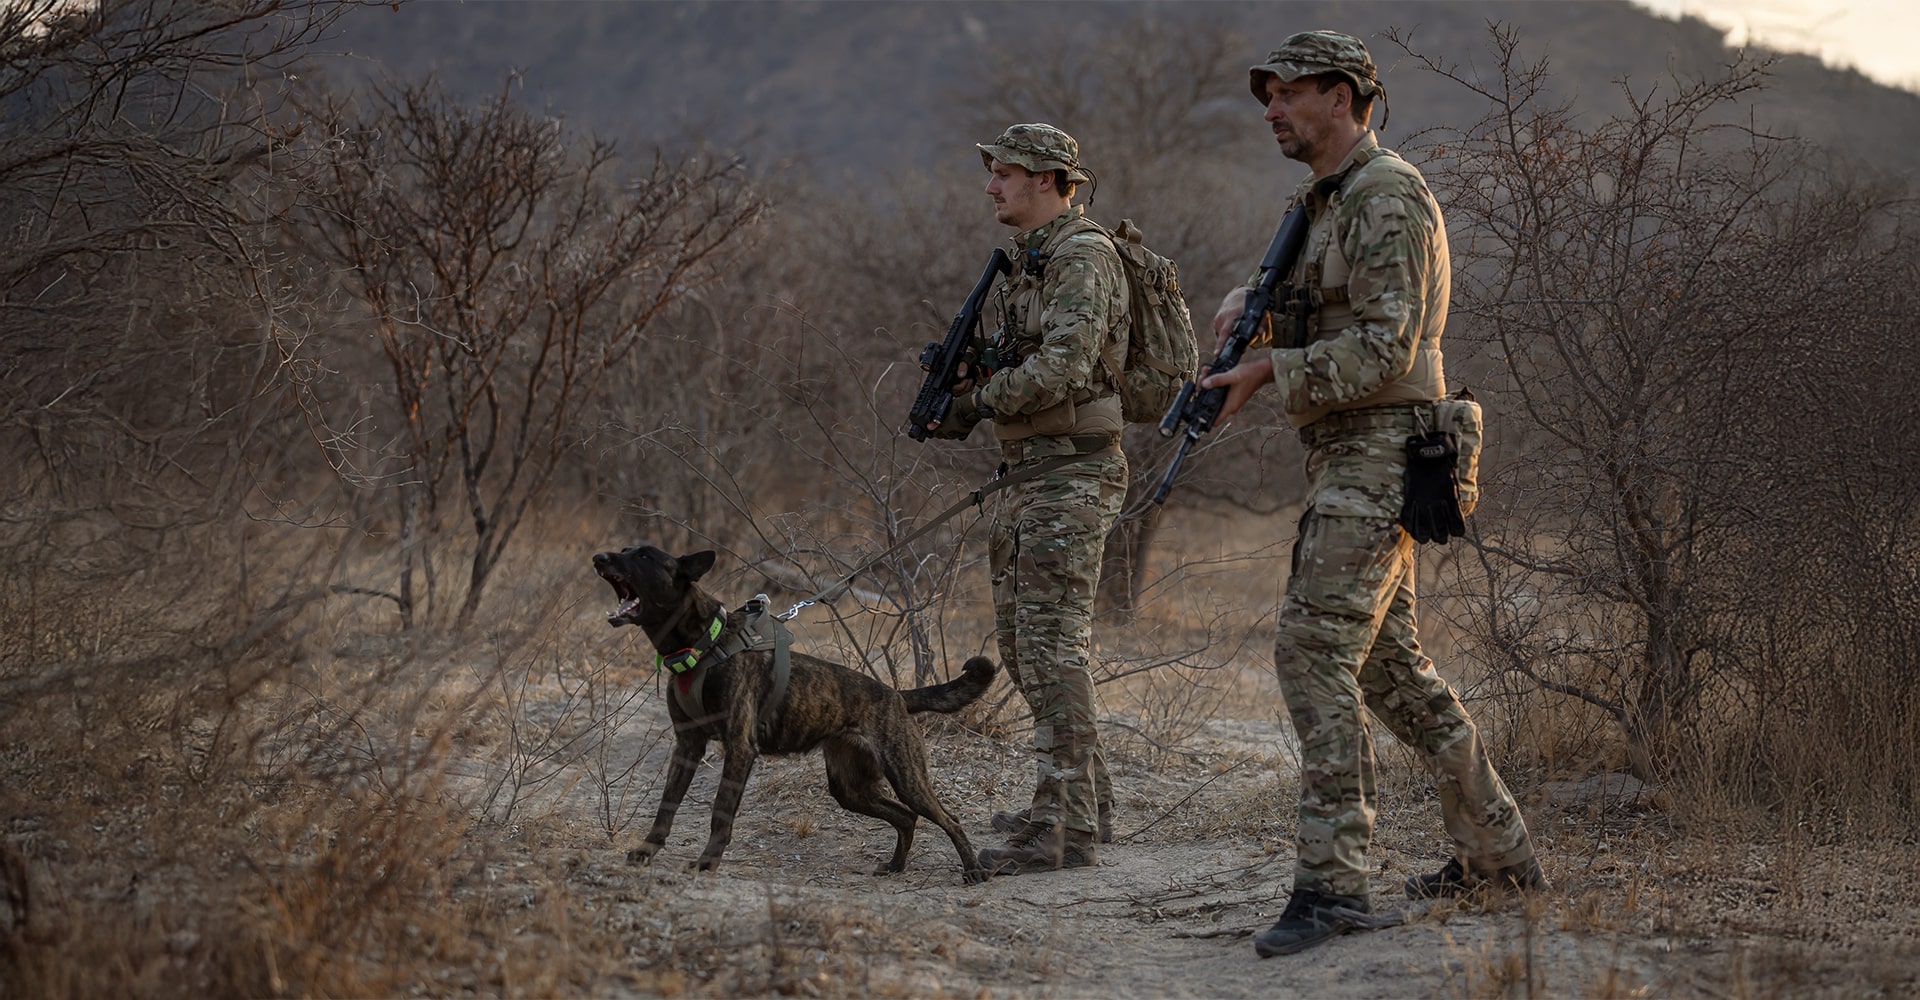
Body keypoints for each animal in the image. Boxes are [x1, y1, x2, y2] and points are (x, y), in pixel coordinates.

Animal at [595, 545, 990, 882]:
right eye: (627, 549)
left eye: (643, 556)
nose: (599, 558)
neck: (704, 645)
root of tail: (896, 695)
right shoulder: (687, 746)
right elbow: (666, 806)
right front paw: (647, 851)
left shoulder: (739, 749)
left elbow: (720, 813)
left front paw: (707, 862)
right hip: (851, 788)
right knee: (906, 818)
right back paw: (896, 865)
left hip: (906, 778)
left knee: (949, 818)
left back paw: (973, 870)